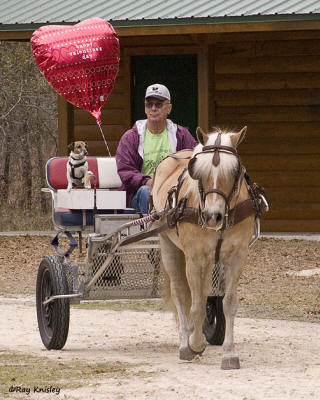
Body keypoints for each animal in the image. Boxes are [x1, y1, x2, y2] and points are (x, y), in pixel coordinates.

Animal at [150, 126, 262, 370]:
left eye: (234, 171)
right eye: (199, 172)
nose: (212, 216)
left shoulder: (237, 257)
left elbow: (228, 303)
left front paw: (229, 353)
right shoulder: (194, 257)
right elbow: (195, 304)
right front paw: (195, 344)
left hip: (210, 260)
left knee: (202, 294)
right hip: (169, 245)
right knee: (181, 292)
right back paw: (185, 342)